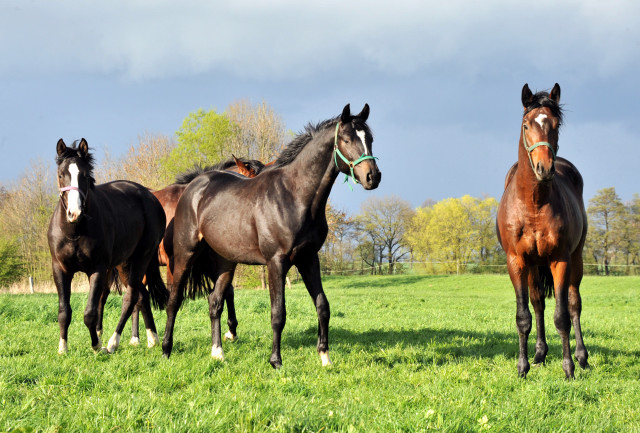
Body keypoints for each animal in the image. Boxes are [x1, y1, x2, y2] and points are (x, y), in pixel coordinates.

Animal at [47, 138, 169, 354]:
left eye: (84, 175)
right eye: (61, 175)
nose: (74, 213)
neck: (75, 231)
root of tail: (150, 197)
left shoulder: (97, 269)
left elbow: (90, 312)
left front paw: (96, 344)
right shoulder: (60, 269)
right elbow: (64, 311)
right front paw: (63, 348)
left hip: (141, 258)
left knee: (131, 298)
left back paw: (113, 343)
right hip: (124, 264)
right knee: (142, 295)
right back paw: (152, 338)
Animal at [162, 103, 380, 366]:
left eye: (370, 138)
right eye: (347, 139)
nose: (373, 177)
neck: (293, 196)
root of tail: (195, 185)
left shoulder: (309, 259)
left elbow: (322, 306)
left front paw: (324, 357)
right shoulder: (276, 262)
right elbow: (278, 313)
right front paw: (276, 360)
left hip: (226, 261)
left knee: (215, 302)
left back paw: (218, 352)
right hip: (185, 253)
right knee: (174, 301)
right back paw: (166, 349)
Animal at [496, 82, 592, 376]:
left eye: (556, 124)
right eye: (526, 124)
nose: (544, 168)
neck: (533, 204)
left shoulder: (560, 260)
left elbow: (562, 316)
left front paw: (568, 368)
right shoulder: (517, 262)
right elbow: (523, 316)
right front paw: (522, 367)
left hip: (575, 259)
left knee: (573, 304)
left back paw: (582, 357)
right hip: (534, 266)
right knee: (538, 303)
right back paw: (539, 354)